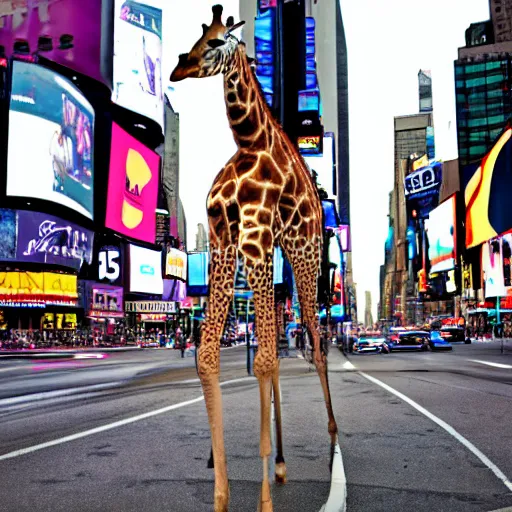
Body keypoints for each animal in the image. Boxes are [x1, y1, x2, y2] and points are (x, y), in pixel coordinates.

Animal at [171, 5, 340, 512]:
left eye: (218, 41)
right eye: (198, 36)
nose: (178, 68)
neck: (250, 143)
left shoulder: (255, 236)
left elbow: (264, 359)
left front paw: (263, 499)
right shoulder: (225, 240)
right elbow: (210, 355)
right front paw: (222, 495)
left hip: (303, 250)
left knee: (316, 342)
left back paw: (331, 440)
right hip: (276, 252)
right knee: (284, 347)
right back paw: (282, 462)